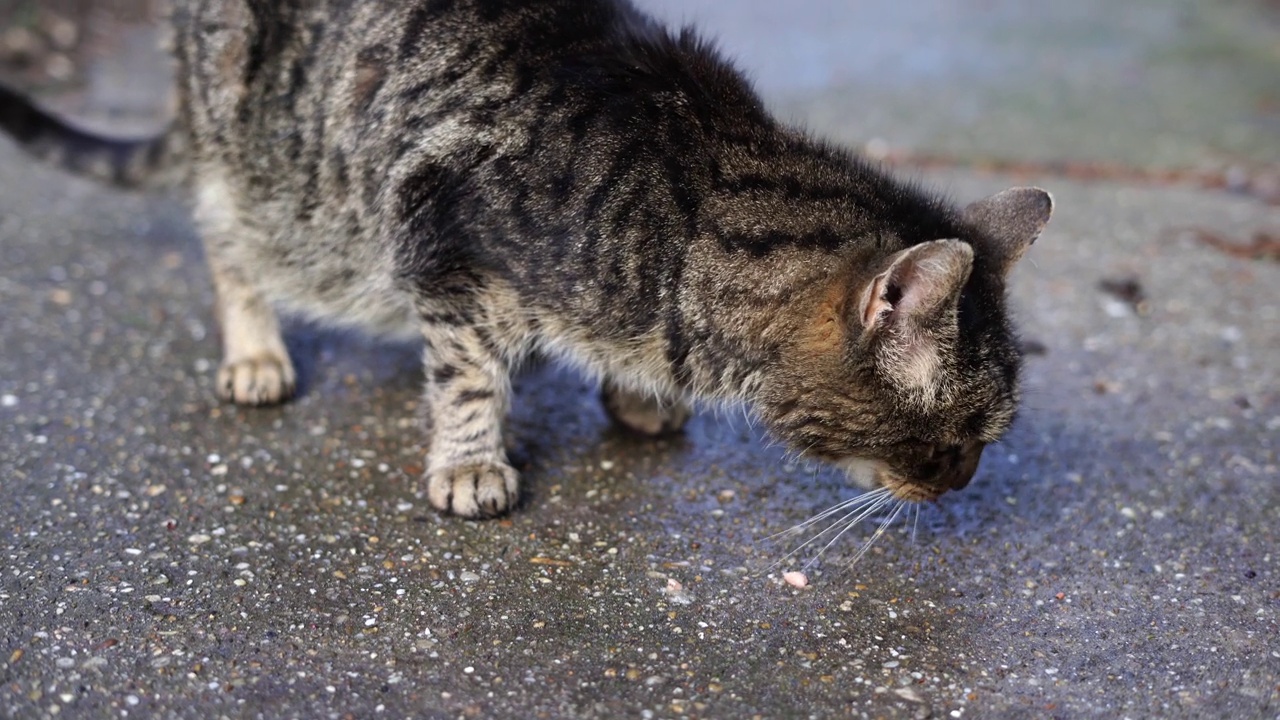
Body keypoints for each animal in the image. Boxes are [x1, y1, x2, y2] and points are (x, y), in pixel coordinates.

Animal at [0, 0, 1049, 515]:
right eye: (958, 435)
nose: (964, 484)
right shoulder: (447, 245)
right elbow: (468, 376)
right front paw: (470, 463)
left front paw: (637, 396)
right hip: (250, 152)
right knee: (227, 241)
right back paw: (256, 351)